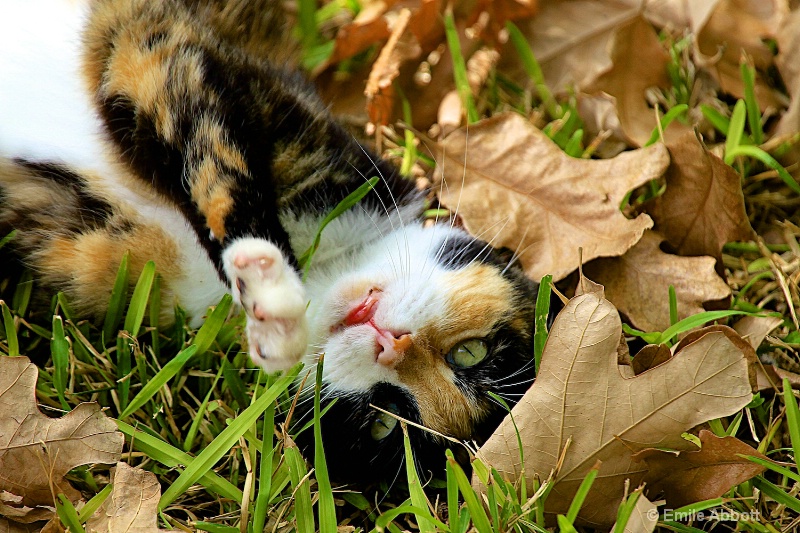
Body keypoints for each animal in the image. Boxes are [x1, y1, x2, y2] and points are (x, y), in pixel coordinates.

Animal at [0, 0, 540, 480]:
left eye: (383, 422)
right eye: (471, 353)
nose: (390, 345)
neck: (319, 268)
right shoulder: (171, 51)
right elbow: (212, 153)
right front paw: (266, 275)